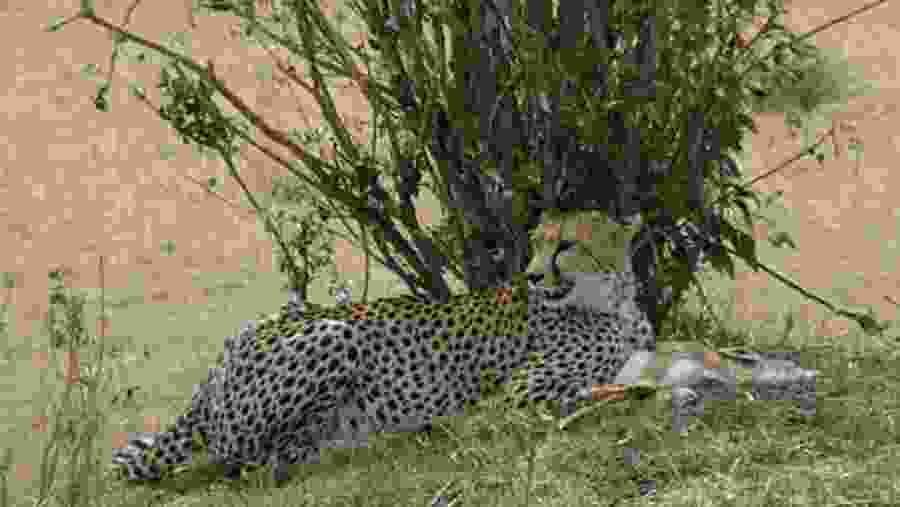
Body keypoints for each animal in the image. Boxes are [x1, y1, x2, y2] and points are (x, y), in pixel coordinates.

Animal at [111, 240, 656, 486]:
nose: (536, 274)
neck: (611, 303)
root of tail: (217, 365)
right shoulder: (522, 387)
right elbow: (574, 391)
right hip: (336, 333)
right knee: (250, 461)